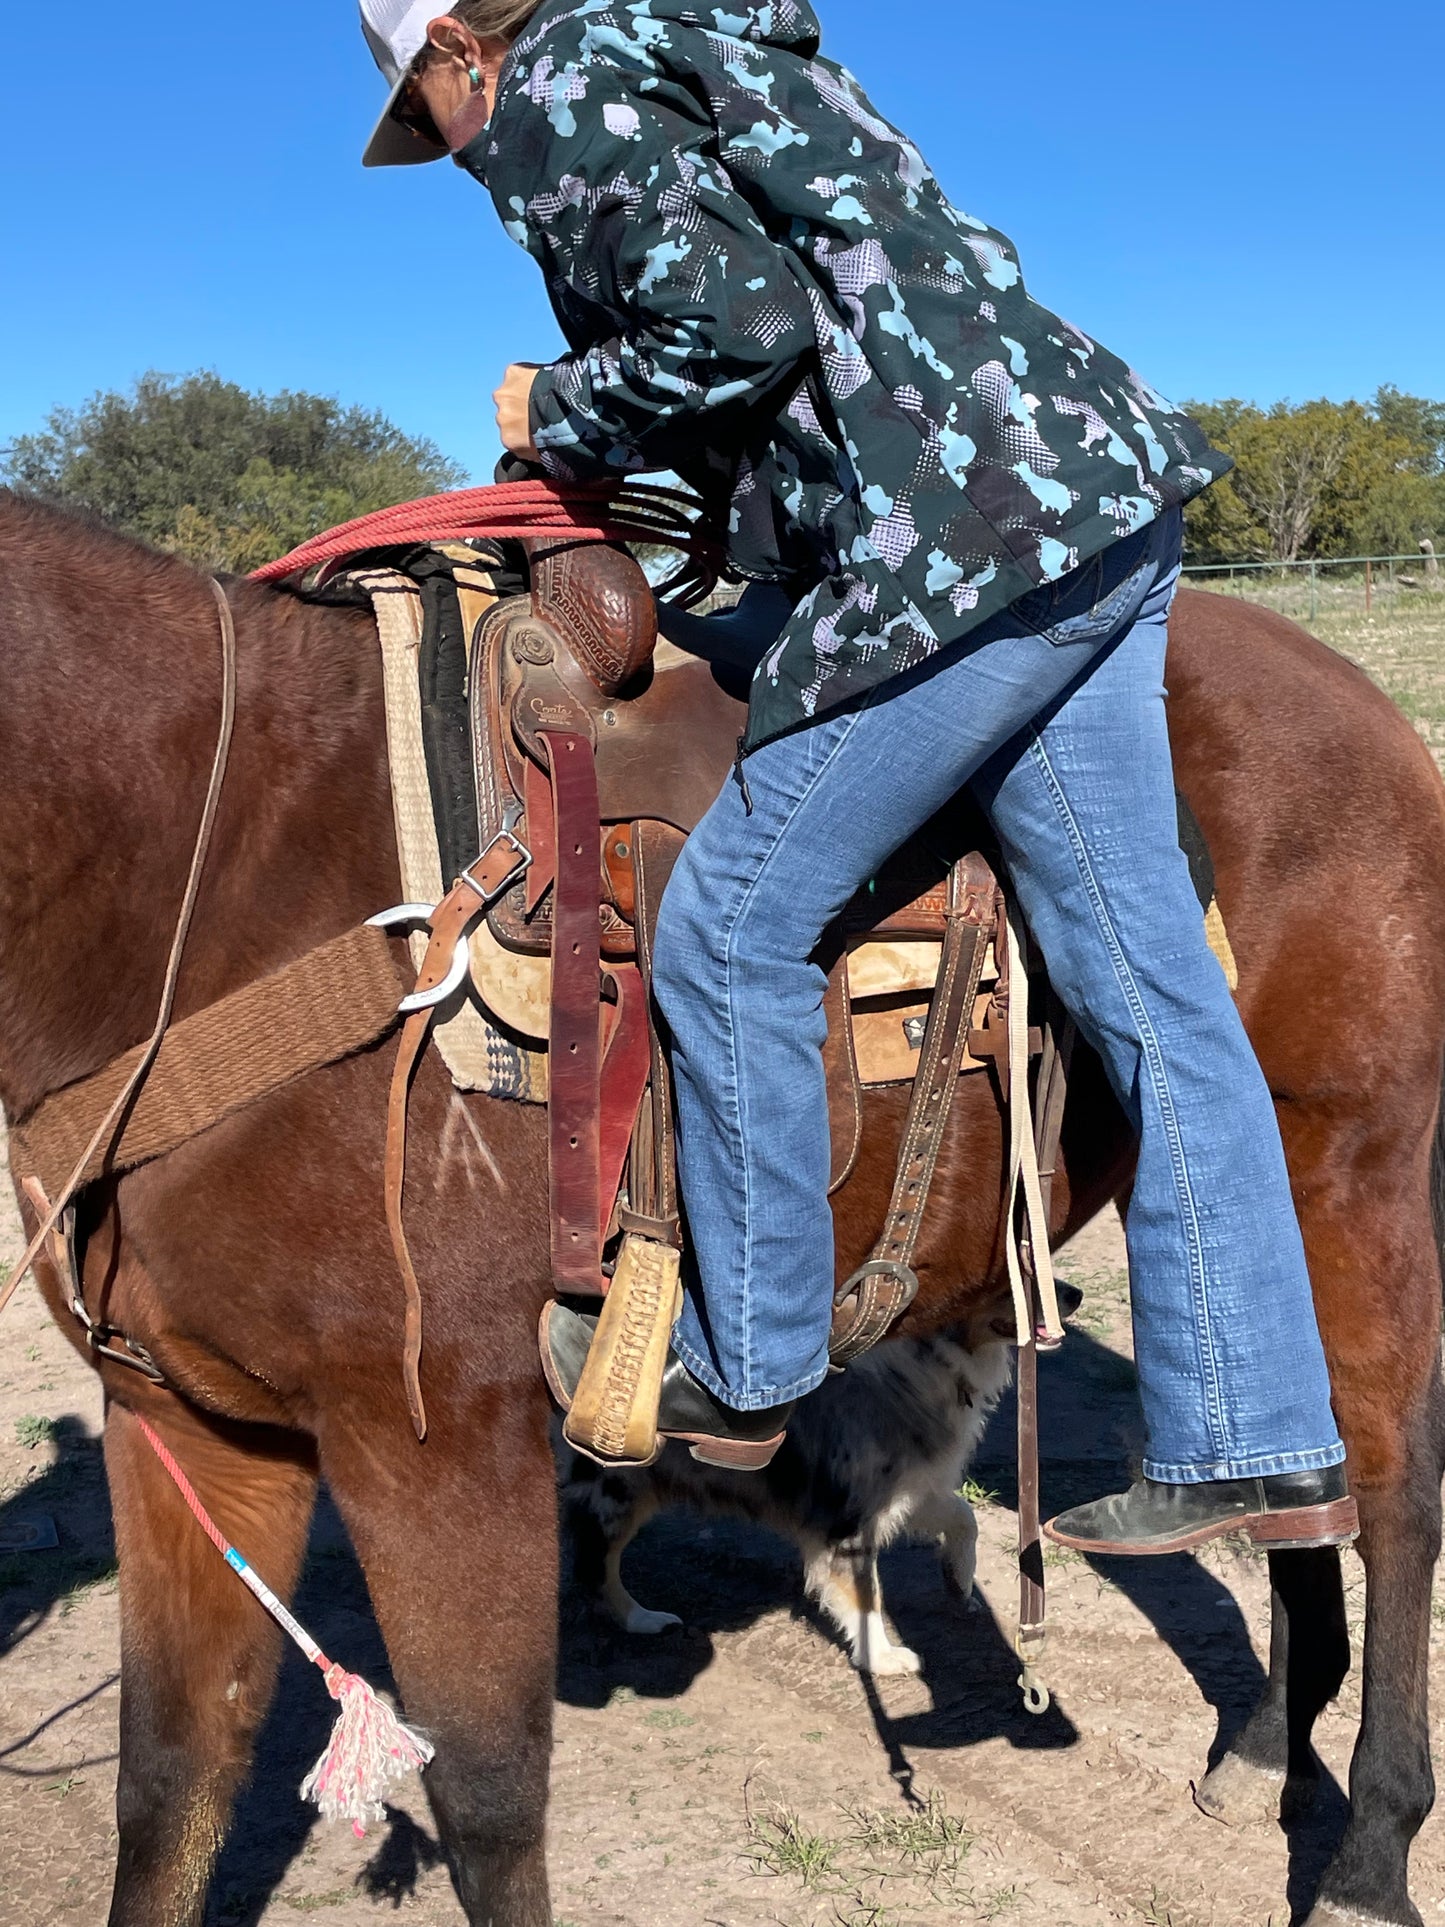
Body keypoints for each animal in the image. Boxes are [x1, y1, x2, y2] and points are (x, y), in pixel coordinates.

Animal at [0, 485, 1441, 1927]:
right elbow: (172, 1785)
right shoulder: (187, 1427)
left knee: (1393, 1492)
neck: (225, 880)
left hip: (1353, 1169)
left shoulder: (437, 1447)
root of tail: (1365, 709)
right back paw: (1260, 1744)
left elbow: (487, 1804)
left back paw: (1367, 1854)